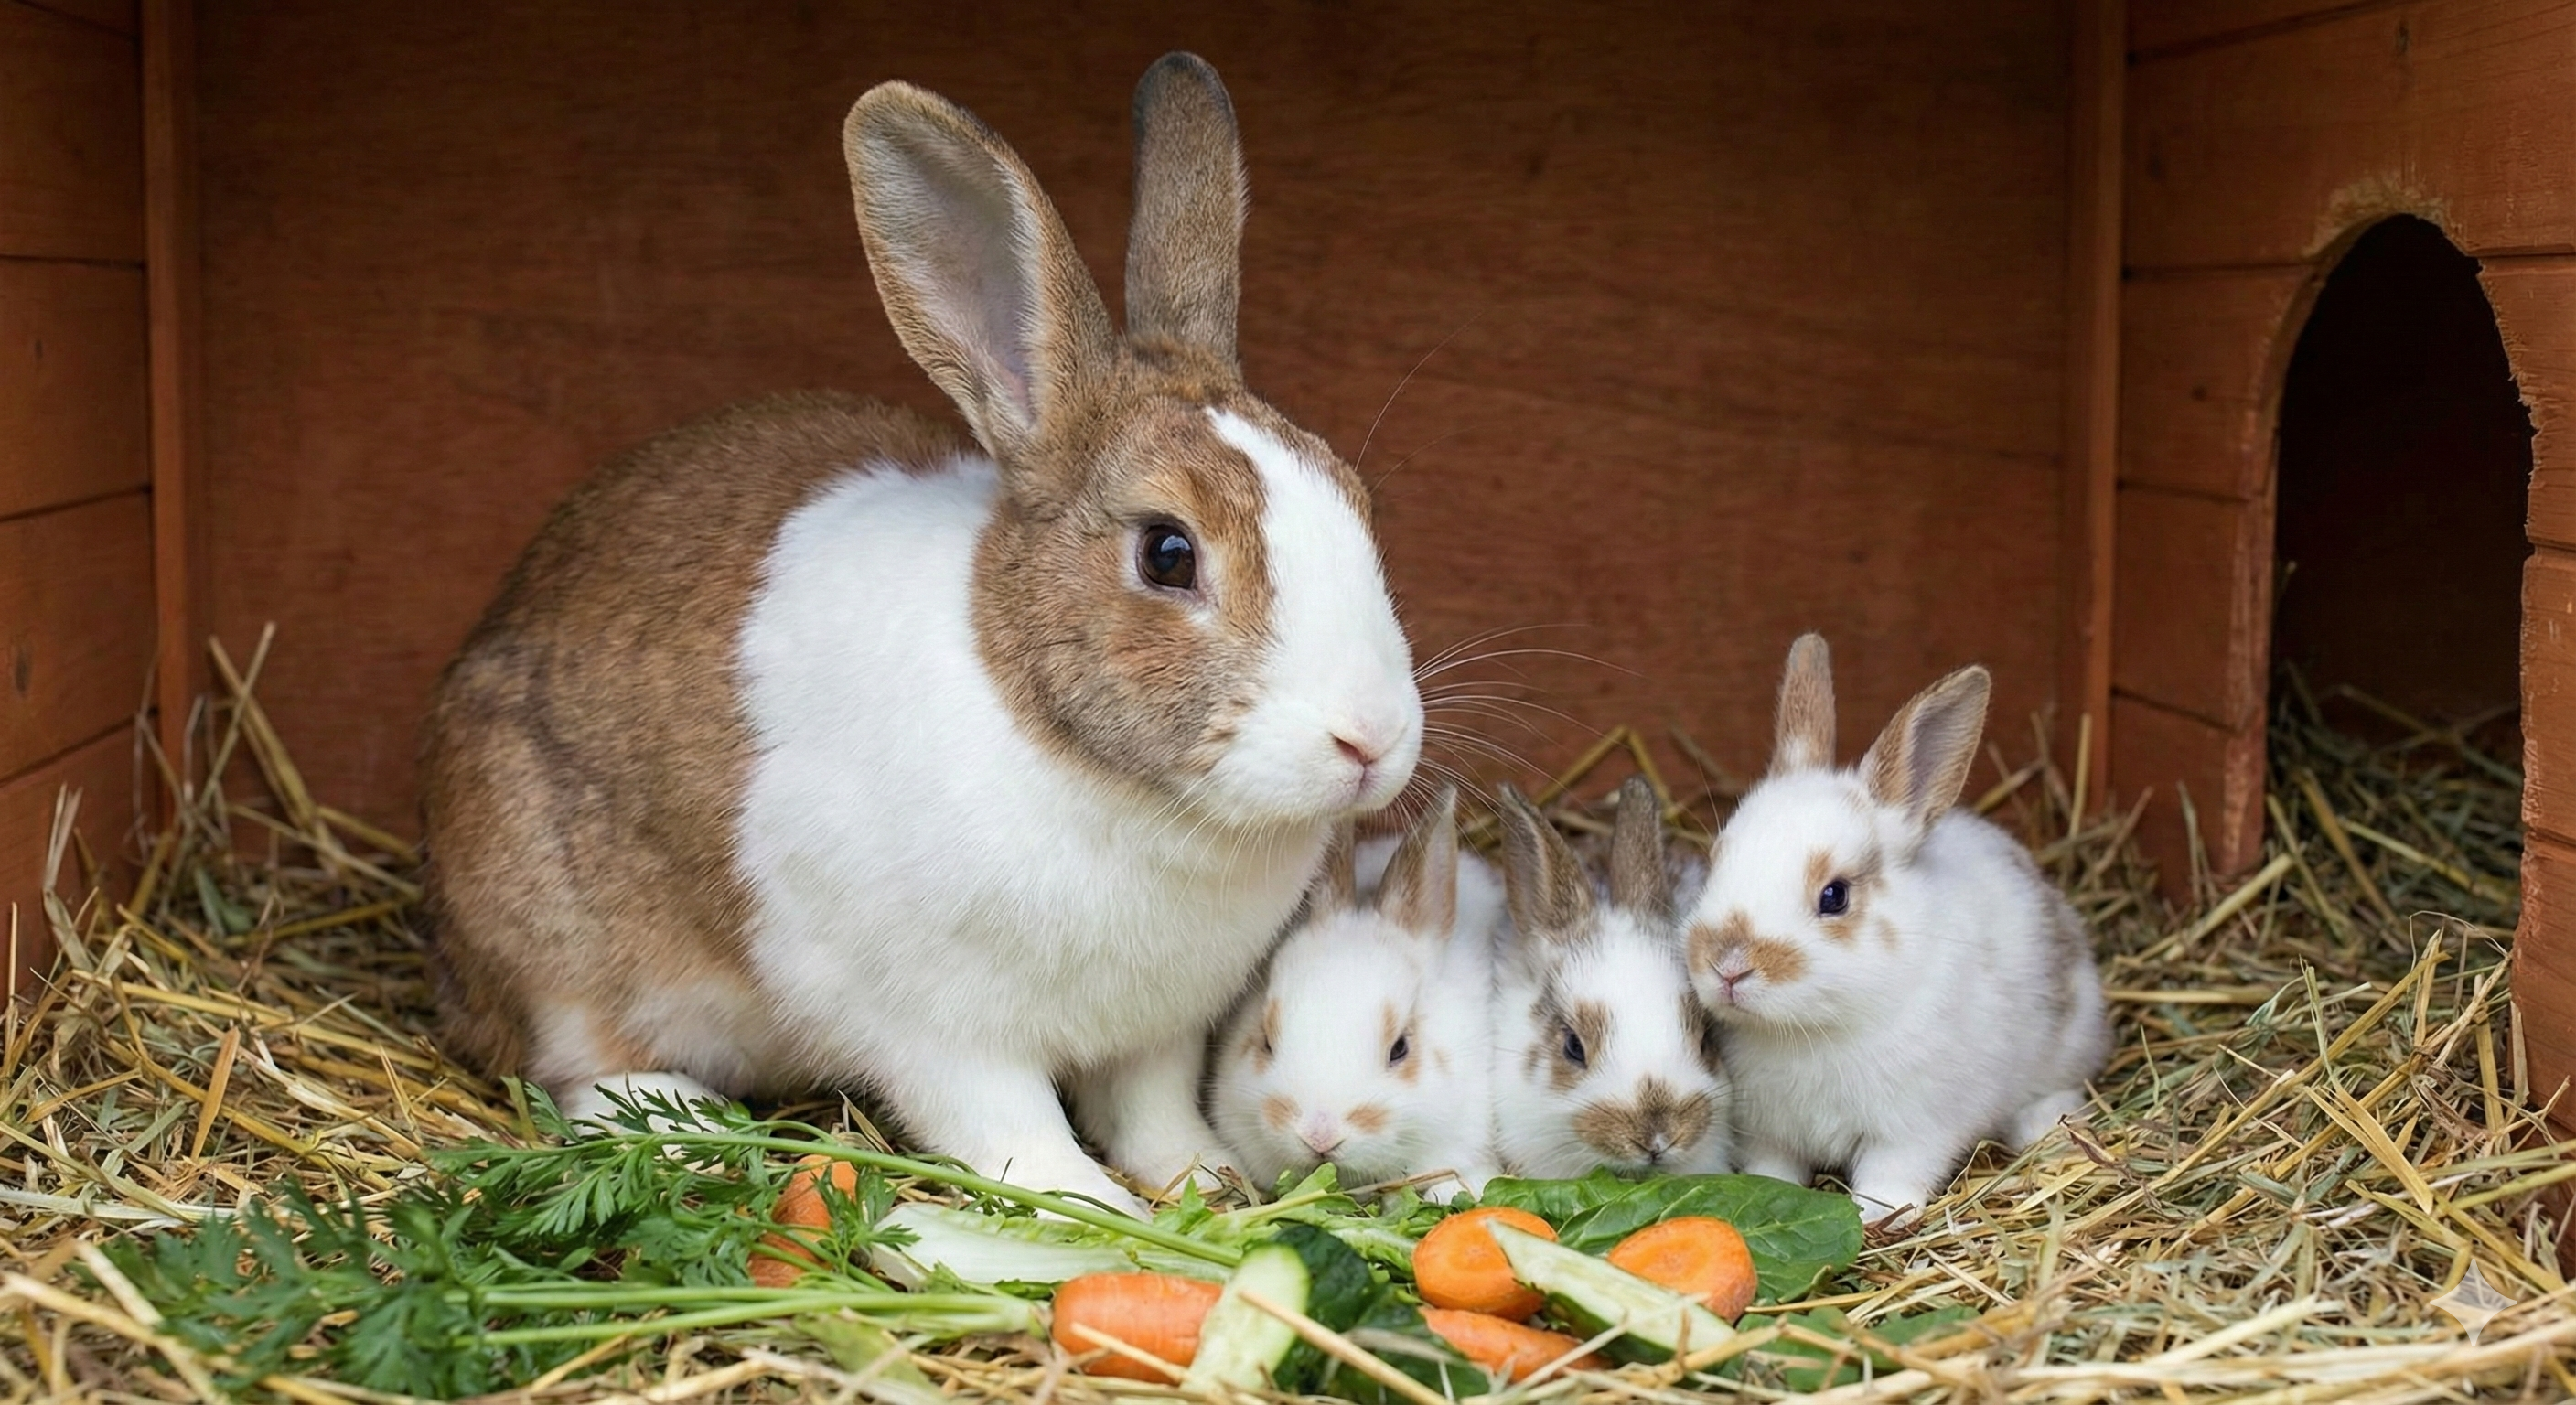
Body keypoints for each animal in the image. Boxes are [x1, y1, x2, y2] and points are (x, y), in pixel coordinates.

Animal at [417, 53, 1424, 1213]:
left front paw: (1197, 1180)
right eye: (1168, 554)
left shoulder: (1156, 1033)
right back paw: (688, 1129)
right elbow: (1010, 1126)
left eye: (1358, 502)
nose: (1371, 742)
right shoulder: (935, 1029)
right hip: (550, 931)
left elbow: (1150, 1107)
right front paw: (1091, 1206)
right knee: (575, 1069)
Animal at [1683, 634, 2112, 1225]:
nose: (1727, 966)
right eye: (1716, 859)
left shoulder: (1914, 1131)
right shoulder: (1769, 1135)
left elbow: (1891, 1176)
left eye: (1834, 895)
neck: (1810, 1030)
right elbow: (1774, 1172)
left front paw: (1876, 1217)